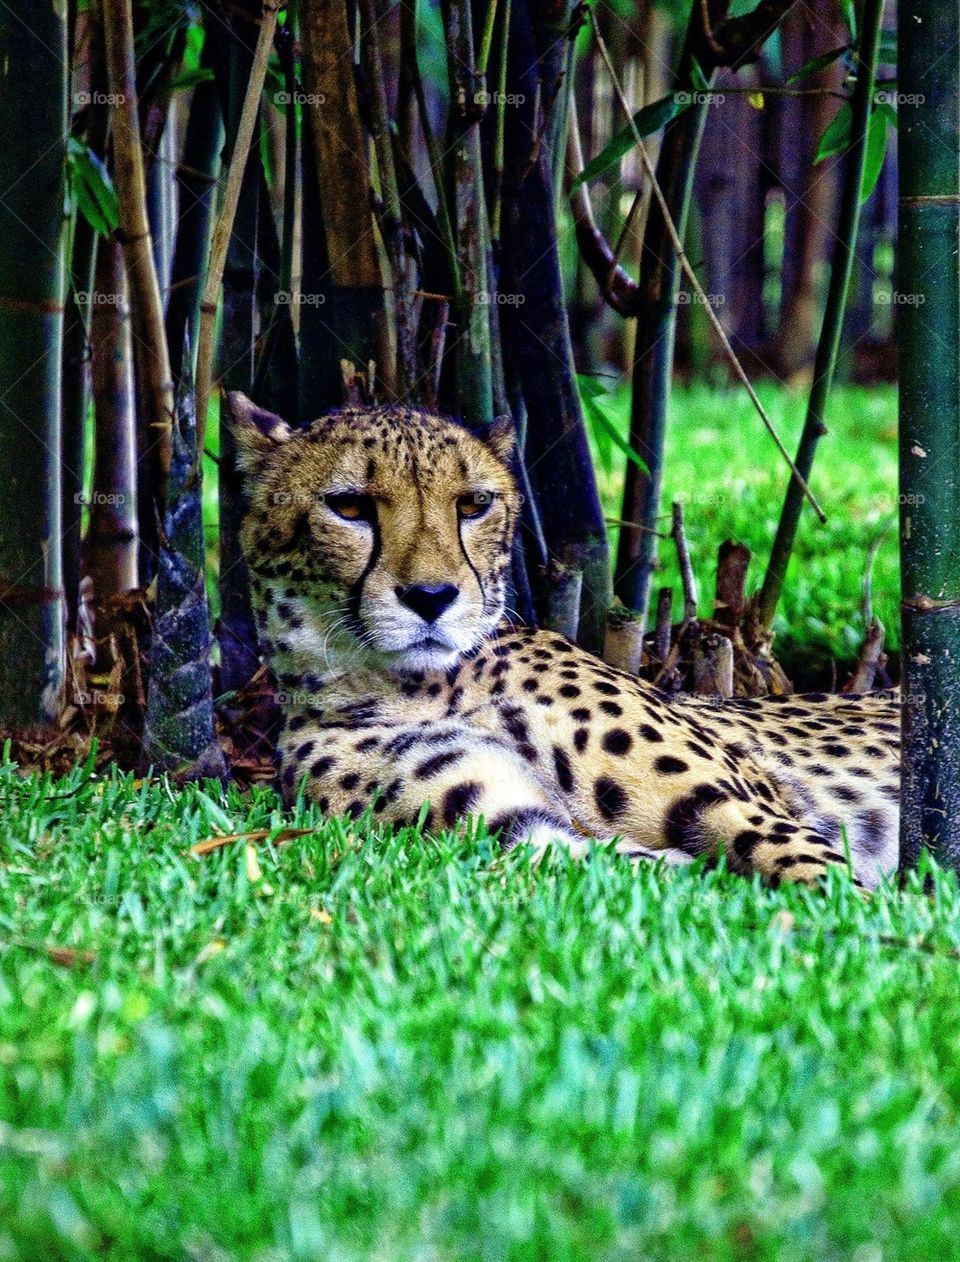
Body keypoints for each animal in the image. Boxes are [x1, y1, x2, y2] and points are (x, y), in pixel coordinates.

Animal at [227, 392, 900, 891]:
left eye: (473, 504)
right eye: (348, 507)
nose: (431, 597)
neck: (416, 686)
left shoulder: (745, 804)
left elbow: (825, 880)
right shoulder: (516, 828)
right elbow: (628, 863)